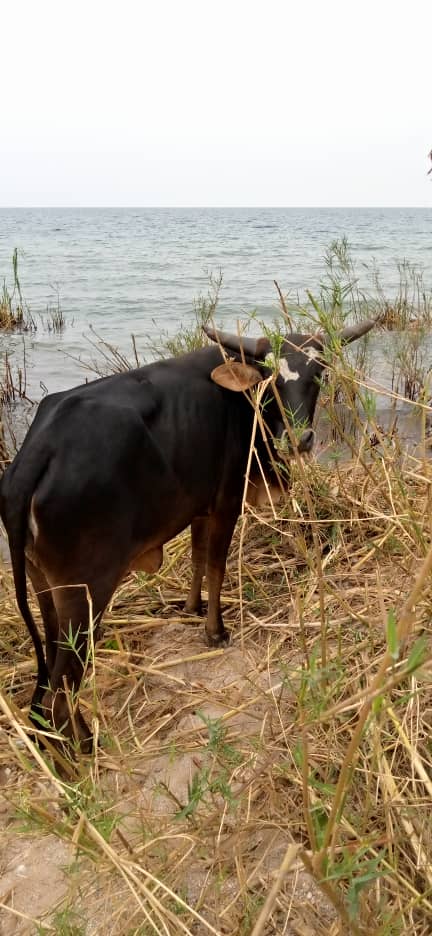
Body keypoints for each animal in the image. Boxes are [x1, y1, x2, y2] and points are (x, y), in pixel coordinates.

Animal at [0, 319, 375, 753]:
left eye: (319, 375)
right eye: (270, 379)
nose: (298, 439)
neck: (243, 404)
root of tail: (36, 453)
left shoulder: (199, 507)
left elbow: (197, 560)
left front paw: (192, 609)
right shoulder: (227, 502)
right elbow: (215, 566)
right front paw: (215, 631)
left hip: (43, 585)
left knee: (49, 688)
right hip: (86, 594)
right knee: (59, 695)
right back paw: (85, 749)